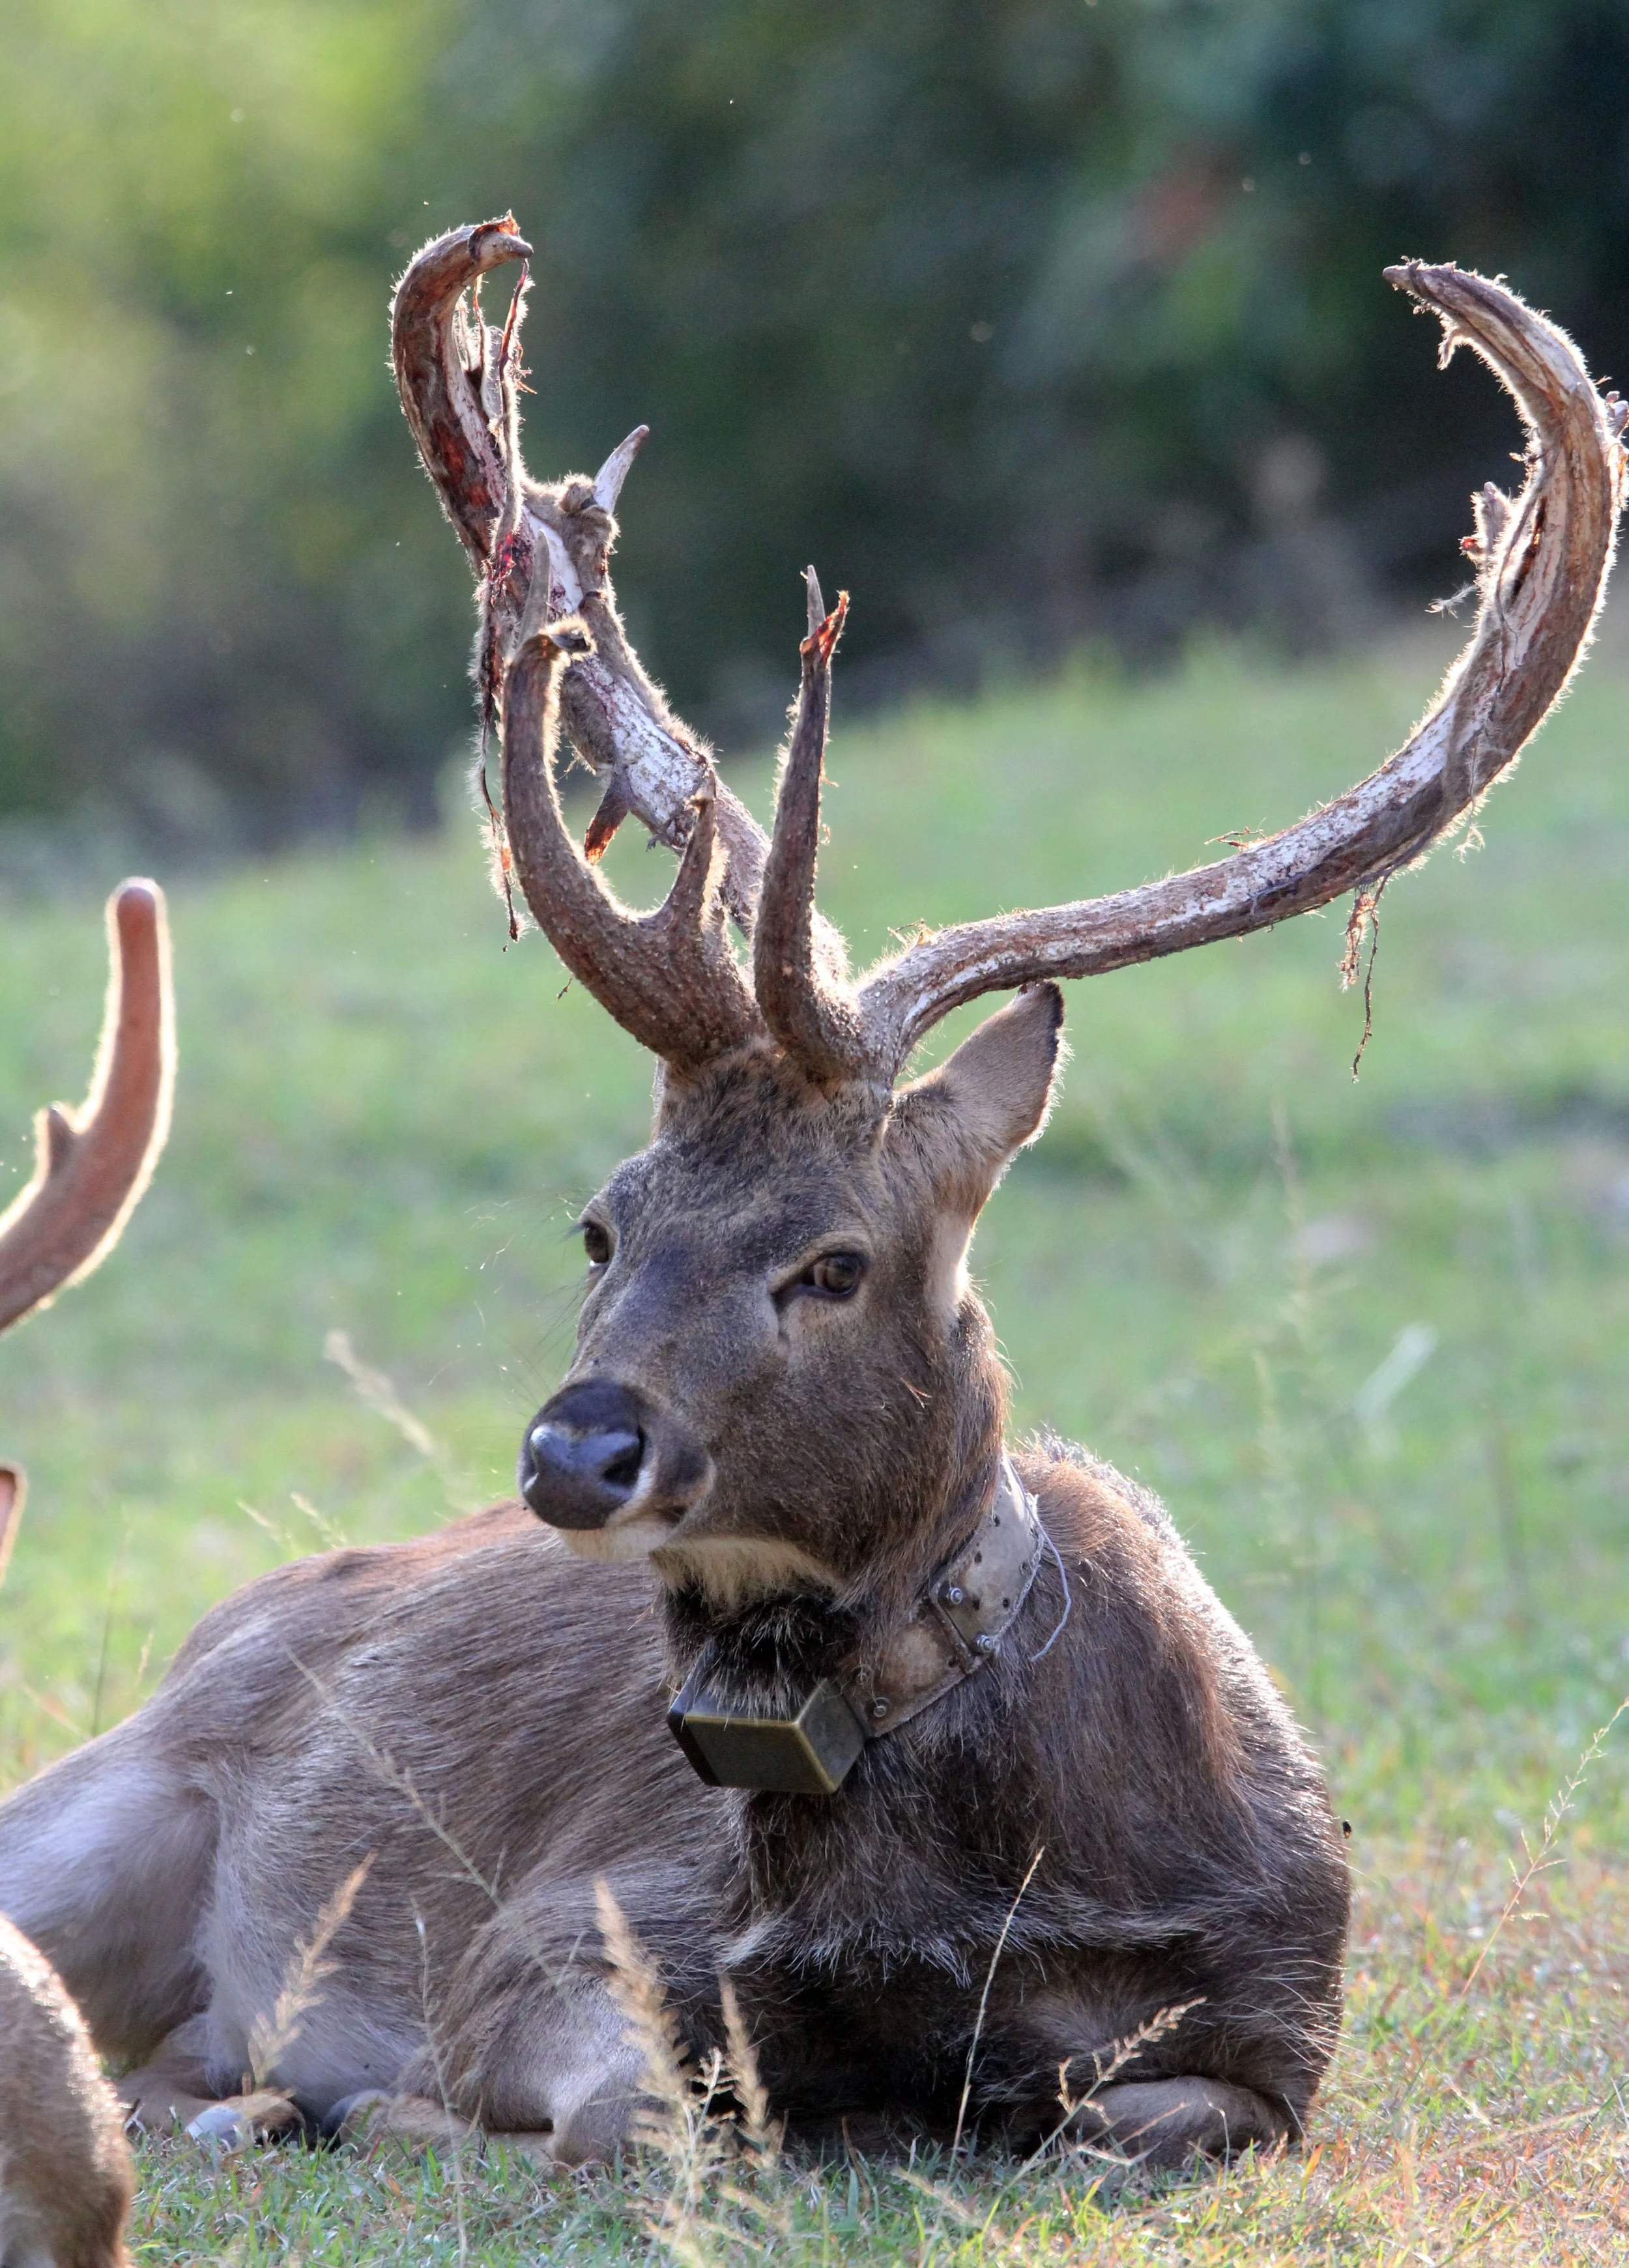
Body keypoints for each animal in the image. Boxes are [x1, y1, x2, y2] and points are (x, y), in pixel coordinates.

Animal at [0, 235, 1619, 2180]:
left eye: (831, 1262)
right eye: (602, 1224)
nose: (576, 1450)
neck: (965, 1897)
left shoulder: (1280, 2015)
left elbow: (1134, 2118)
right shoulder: (568, 1928)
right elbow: (640, 2120)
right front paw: (369, 2106)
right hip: (92, 1807)